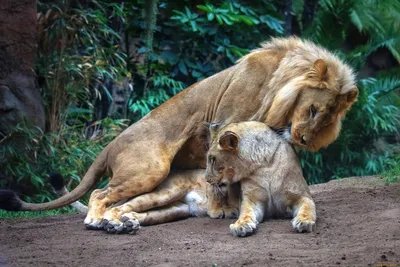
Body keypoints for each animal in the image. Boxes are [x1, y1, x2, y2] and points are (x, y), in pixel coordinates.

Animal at [0, 36, 356, 231]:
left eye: (327, 119)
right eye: (313, 109)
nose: (304, 140)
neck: (278, 82)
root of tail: (110, 144)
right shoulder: (227, 120)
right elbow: (228, 173)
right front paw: (227, 207)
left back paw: (119, 222)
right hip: (151, 168)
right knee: (100, 194)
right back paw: (97, 220)